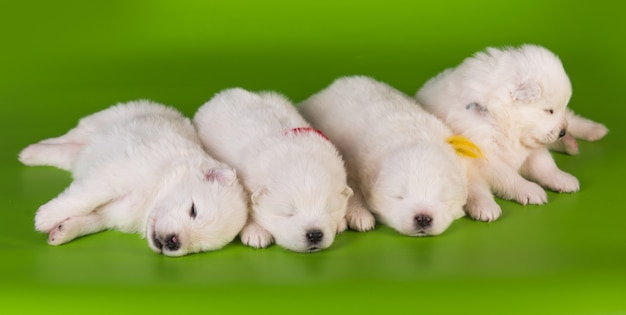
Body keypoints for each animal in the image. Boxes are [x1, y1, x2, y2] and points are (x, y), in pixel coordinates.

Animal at [17, 101, 246, 256]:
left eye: (199, 248)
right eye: (193, 210)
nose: (173, 243)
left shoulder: (112, 213)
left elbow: (91, 219)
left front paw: (62, 231)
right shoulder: (113, 175)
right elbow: (84, 199)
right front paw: (46, 217)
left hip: (79, 152)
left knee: (66, 154)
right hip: (99, 121)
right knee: (67, 137)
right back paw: (32, 151)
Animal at [193, 89, 352, 254]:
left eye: (329, 210)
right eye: (288, 213)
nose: (314, 234)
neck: (295, 152)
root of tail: (221, 94)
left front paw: (340, 222)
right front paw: (256, 233)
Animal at [298, 76, 498, 235]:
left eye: (443, 198)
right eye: (399, 196)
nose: (423, 218)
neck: (412, 137)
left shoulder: (460, 160)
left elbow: (475, 182)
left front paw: (487, 207)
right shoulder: (351, 163)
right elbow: (351, 194)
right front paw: (361, 216)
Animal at [414, 45, 604, 206]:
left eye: (558, 108)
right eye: (549, 111)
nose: (563, 132)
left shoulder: (532, 146)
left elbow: (545, 165)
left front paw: (562, 178)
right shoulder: (486, 155)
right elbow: (508, 176)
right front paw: (530, 190)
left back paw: (590, 133)